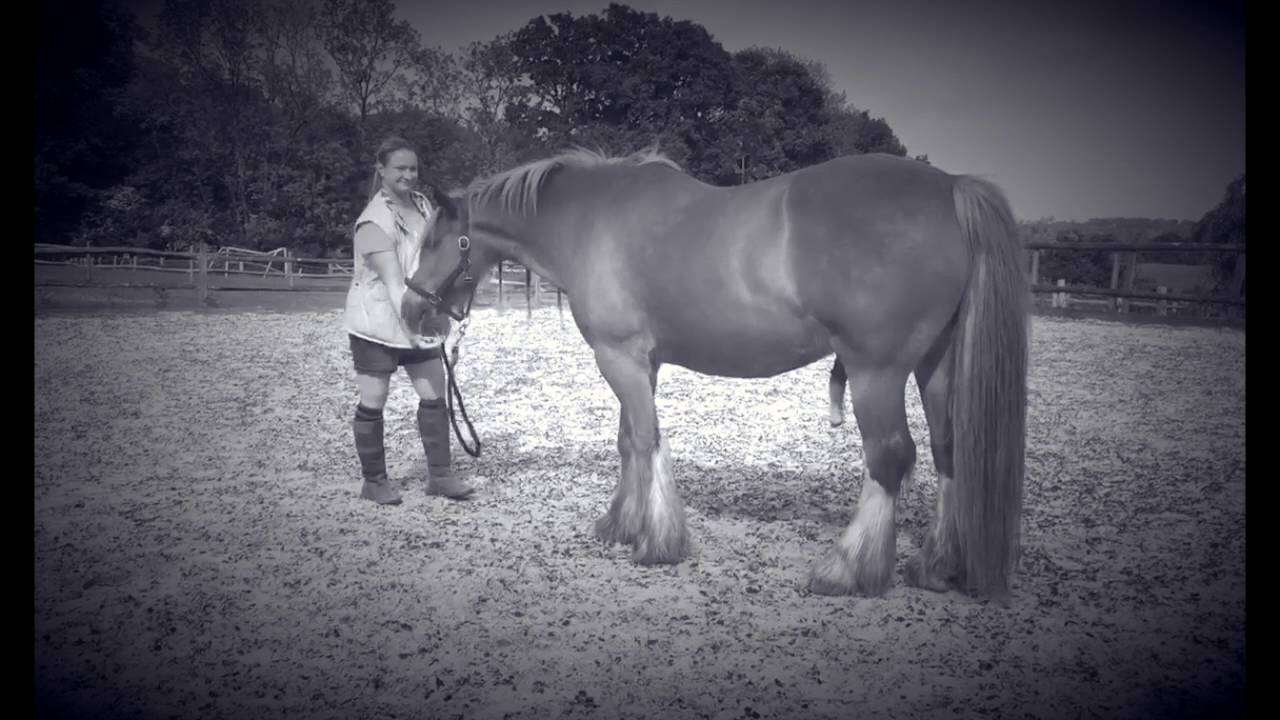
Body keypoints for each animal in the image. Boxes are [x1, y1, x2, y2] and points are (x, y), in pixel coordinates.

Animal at [404, 147, 1030, 603]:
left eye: (433, 240)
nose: (411, 310)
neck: (588, 222)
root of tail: (951, 187)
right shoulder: (642, 362)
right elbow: (629, 439)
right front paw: (622, 524)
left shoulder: (618, 356)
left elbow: (647, 440)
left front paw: (657, 542)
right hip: (934, 365)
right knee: (949, 450)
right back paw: (937, 564)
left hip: (876, 371)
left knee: (891, 456)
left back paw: (847, 570)